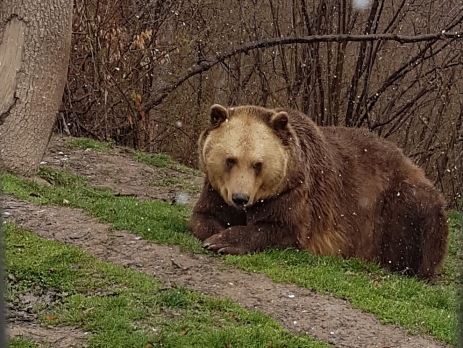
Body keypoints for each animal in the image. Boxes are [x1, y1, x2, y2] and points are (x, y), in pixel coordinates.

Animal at [188, 104, 450, 280]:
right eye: (230, 160)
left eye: (258, 164)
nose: (240, 198)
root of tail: (414, 165)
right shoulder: (216, 191)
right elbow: (202, 215)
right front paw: (216, 234)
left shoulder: (295, 193)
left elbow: (282, 228)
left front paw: (223, 242)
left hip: (401, 201)